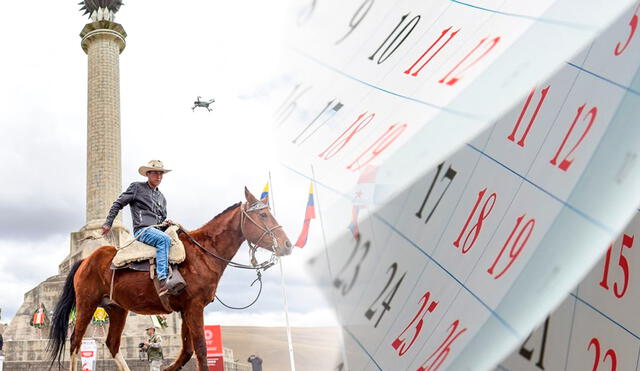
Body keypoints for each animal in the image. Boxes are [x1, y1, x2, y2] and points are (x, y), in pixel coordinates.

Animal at [47, 189, 292, 371]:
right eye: (263, 215)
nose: (287, 245)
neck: (202, 253)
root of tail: (86, 259)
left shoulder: (186, 309)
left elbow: (186, 351)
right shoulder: (194, 307)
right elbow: (200, 349)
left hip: (116, 309)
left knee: (112, 344)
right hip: (87, 304)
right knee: (75, 342)